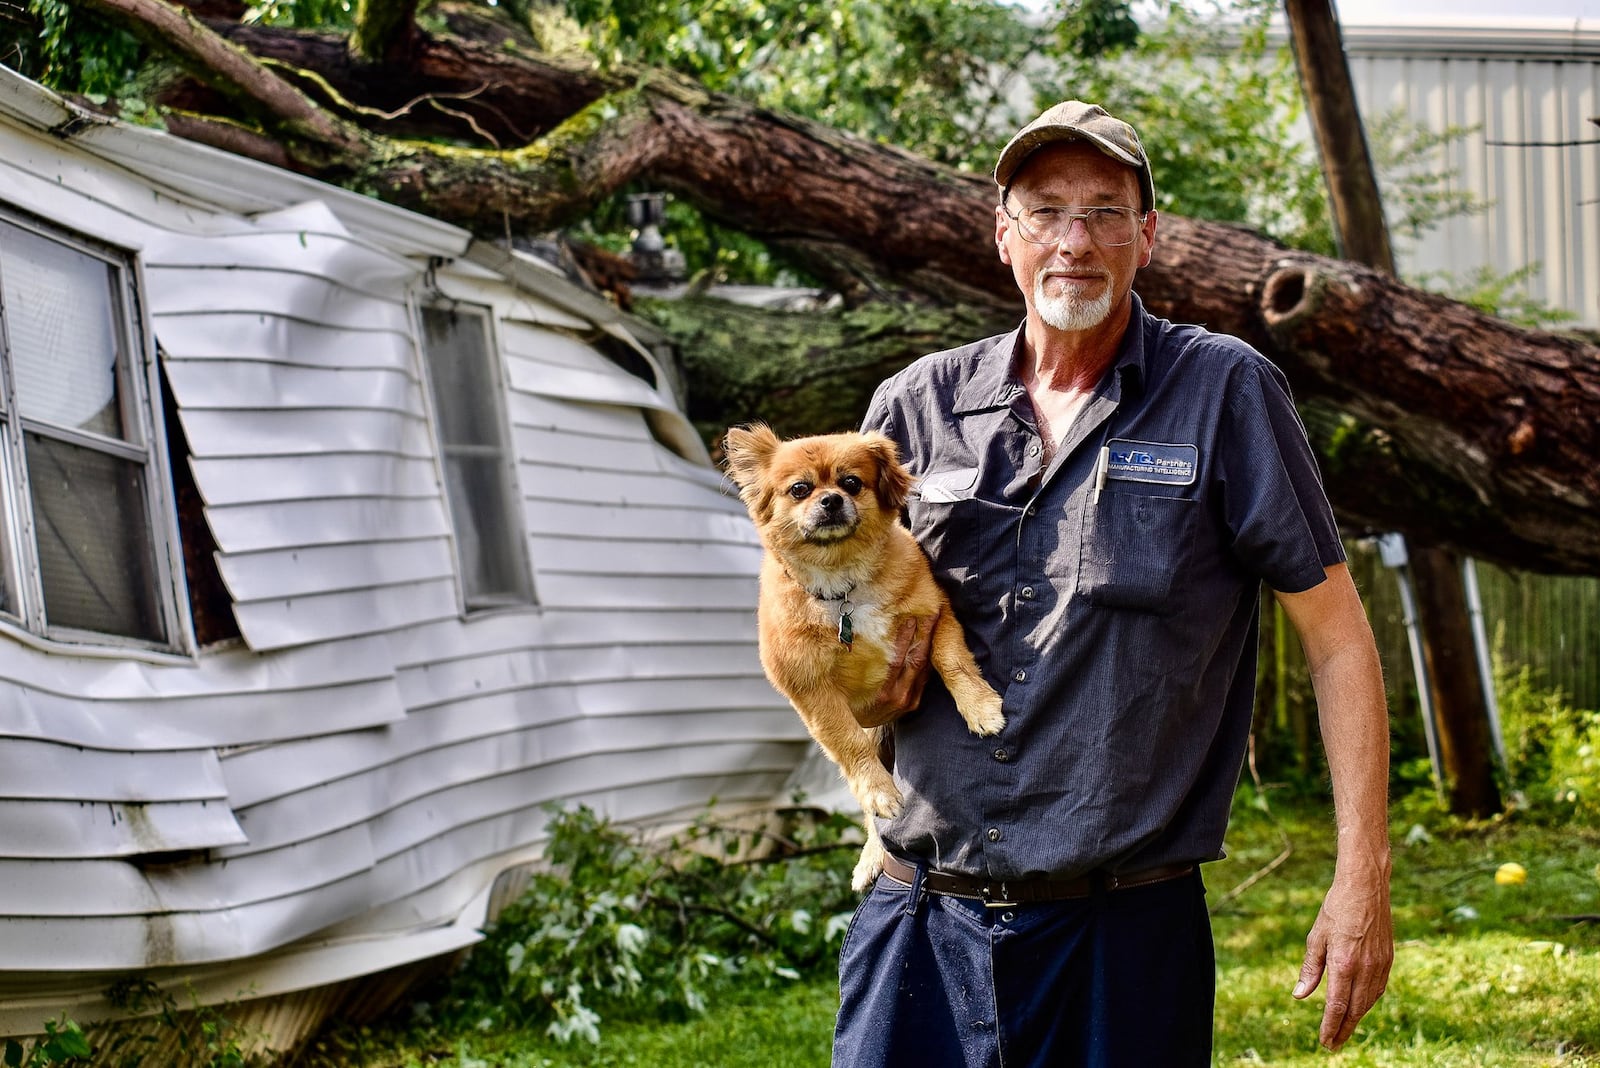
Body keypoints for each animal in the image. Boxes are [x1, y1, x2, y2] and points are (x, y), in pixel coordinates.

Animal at [726, 422, 998, 888]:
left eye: (852, 483)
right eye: (799, 489)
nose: (831, 500)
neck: (843, 586)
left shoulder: (934, 616)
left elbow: (954, 664)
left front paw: (981, 709)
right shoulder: (811, 690)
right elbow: (848, 744)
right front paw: (878, 792)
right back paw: (873, 854)